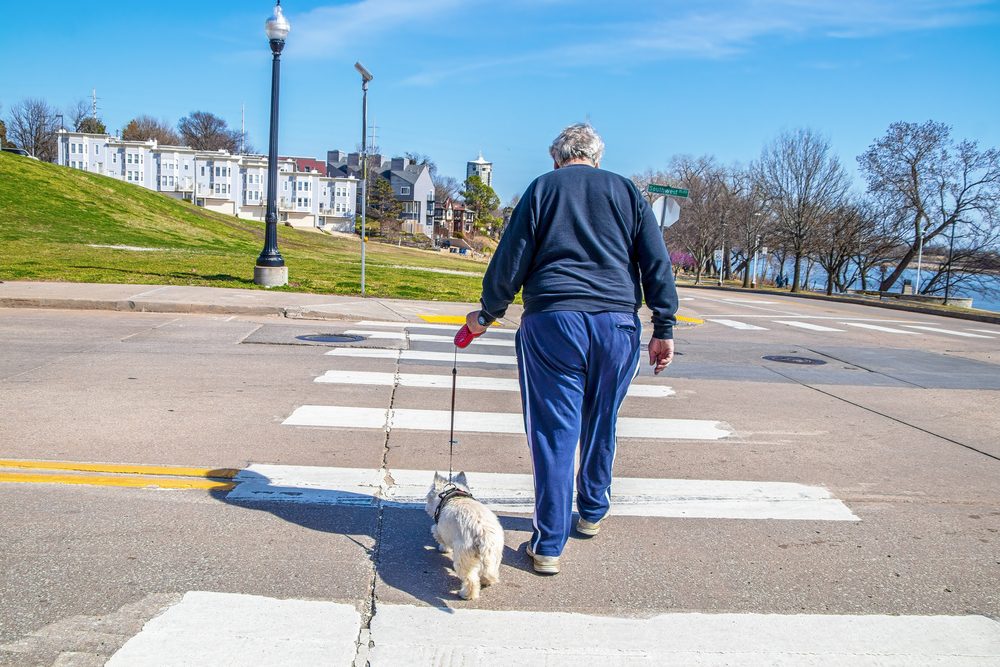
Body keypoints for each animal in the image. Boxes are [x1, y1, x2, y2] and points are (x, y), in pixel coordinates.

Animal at [428, 472, 508, 604]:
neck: (452, 495)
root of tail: (482, 531)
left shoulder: (439, 529)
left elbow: (441, 539)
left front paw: (443, 549)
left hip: (464, 555)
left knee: (470, 580)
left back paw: (466, 594)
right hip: (495, 552)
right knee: (489, 571)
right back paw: (486, 581)